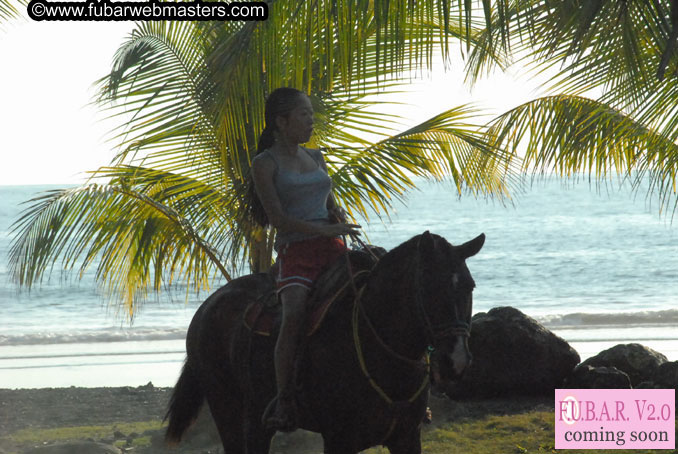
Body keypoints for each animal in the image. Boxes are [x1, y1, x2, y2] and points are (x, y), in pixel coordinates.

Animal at [167, 232, 486, 454]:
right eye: (429, 287)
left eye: (470, 287)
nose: (456, 360)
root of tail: (208, 305)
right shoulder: (339, 440)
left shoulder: (406, 438)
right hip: (229, 409)